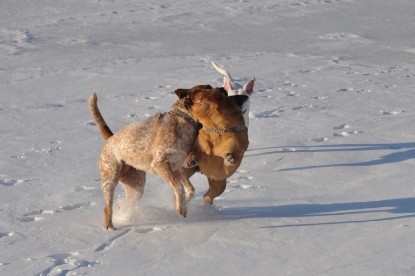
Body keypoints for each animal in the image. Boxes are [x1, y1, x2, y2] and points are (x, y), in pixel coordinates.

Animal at [88, 86, 244, 229]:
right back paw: (109, 228)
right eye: (206, 89)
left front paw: (184, 207)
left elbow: (190, 190)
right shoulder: (160, 164)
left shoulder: (177, 166)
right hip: (110, 179)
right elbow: (179, 188)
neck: (184, 121)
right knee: (107, 207)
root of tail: (110, 138)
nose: (223, 88)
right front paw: (180, 208)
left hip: (136, 187)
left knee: (125, 203)